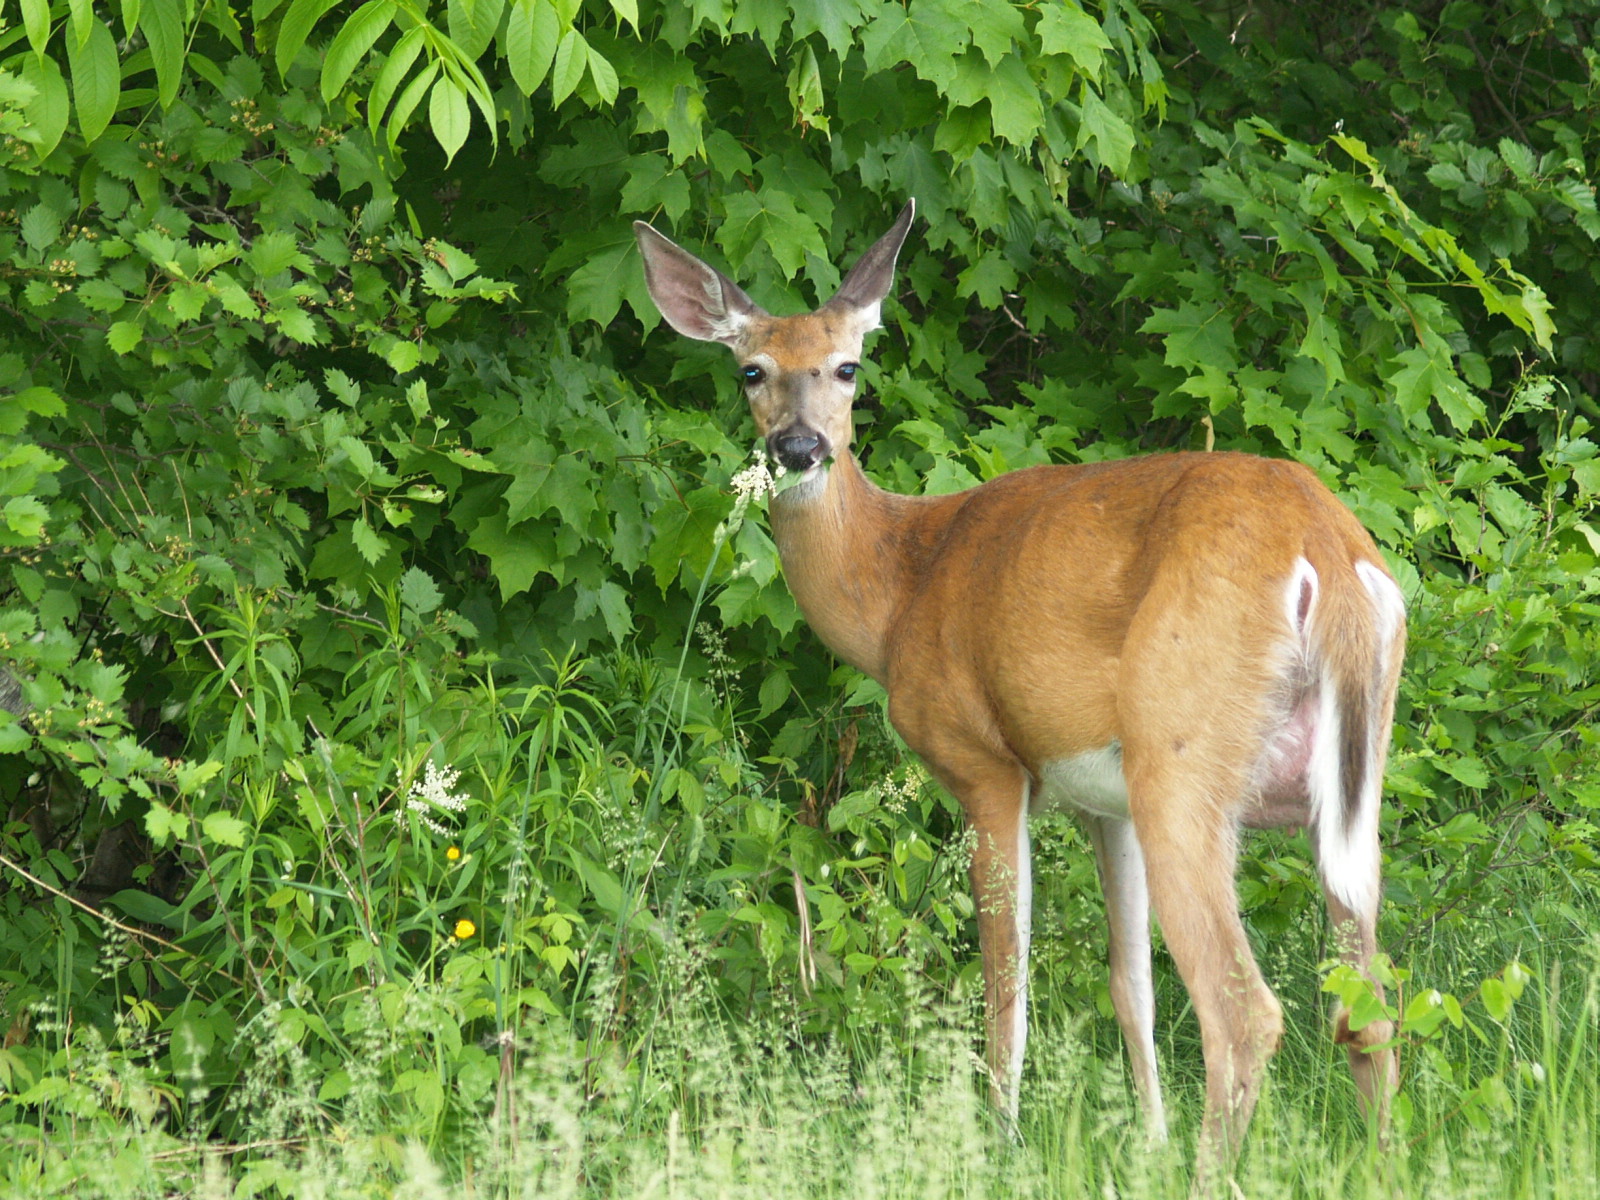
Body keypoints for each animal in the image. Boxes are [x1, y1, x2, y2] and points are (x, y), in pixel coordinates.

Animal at [630, 200, 1408, 1184]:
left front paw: (999, 1142)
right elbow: (1128, 981)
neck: (900, 592)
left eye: (847, 365)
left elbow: (1007, 972)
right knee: (1369, 1004)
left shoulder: (985, 763)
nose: (799, 447)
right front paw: (1145, 1141)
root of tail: (1328, 553)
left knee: (1245, 1011)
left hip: (1182, 756)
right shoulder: (1101, 803)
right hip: (1342, 789)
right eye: (750, 370)